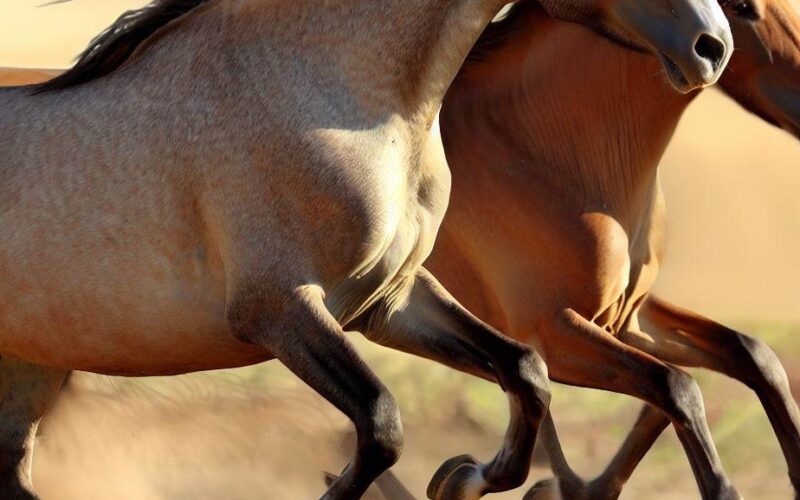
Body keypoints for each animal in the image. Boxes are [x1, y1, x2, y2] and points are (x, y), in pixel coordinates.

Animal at [0, 0, 736, 498]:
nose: (712, 46)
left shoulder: (388, 303)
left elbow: (526, 371)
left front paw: (467, 477)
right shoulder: (278, 311)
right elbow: (382, 425)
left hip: (29, 373)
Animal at [432, 0, 800, 500]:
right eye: (744, 9)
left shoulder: (625, 317)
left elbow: (750, 356)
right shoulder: (553, 333)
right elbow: (676, 387)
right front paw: (472, 478)